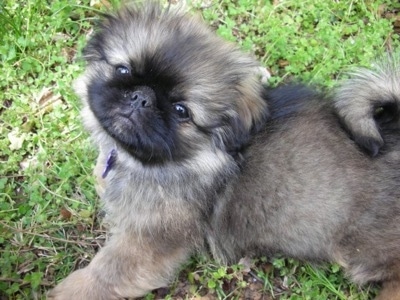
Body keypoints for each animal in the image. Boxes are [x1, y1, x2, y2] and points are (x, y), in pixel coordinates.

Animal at [47, 2, 400, 300]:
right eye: (123, 70)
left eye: (181, 111)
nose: (140, 97)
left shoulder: (149, 238)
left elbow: (108, 271)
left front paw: (71, 290)